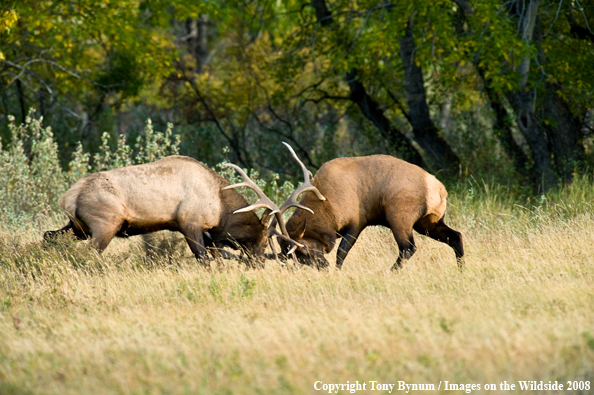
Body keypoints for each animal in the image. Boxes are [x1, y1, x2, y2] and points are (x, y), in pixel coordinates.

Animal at [43, 155, 296, 262]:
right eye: (264, 239)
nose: (259, 262)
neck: (220, 209)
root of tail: (69, 197)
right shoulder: (189, 224)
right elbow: (204, 259)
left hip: (78, 227)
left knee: (48, 236)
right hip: (104, 225)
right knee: (89, 254)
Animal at [276, 153, 464, 270]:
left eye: (303, 249)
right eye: (291, 256)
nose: (323, 267)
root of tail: (439, 189)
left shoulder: (357, 222)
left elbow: (341, 253)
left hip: (399, 217)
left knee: (408, 248)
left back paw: (389, 273)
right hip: (428, 222)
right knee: (456, 236)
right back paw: (461, 271)